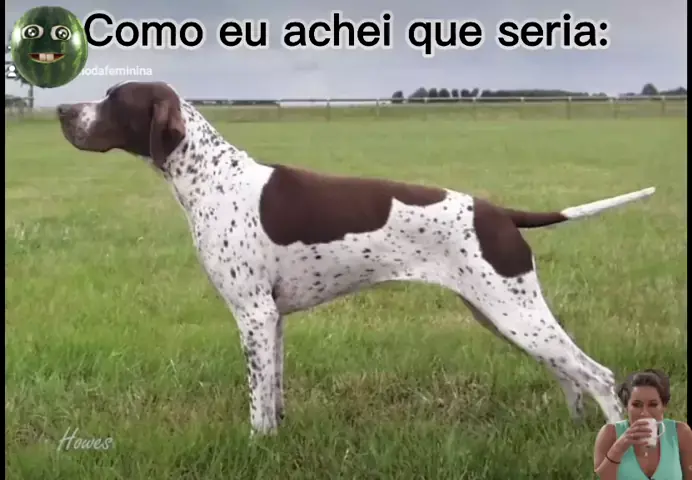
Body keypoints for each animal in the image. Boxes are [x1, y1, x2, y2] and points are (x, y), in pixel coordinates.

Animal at [57, 80, 655, 436]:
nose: (63, 109)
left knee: (598, 375)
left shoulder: (252, 315)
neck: (213, 178)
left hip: (515, 312)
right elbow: (274, 390)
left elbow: (256, 401)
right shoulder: (272, 320)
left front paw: (256, 444)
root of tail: (500, 214)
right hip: (505, 313)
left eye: (114, 99)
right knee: (568, 375)